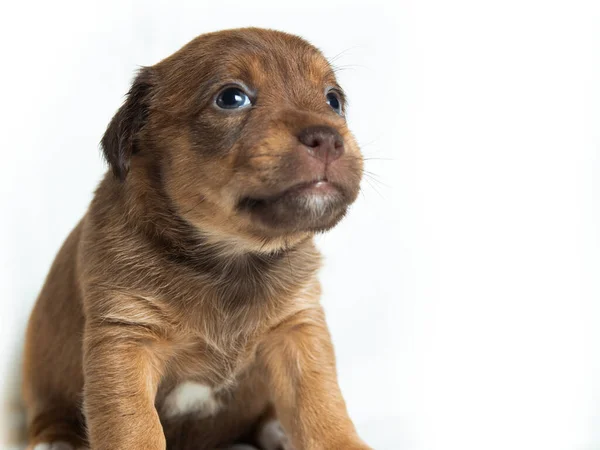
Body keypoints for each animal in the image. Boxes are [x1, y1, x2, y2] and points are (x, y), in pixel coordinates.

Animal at [23, 27, 368, 450]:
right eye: (232, 98)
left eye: (333, 100)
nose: (329, 139)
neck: (229, 260)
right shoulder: (125, 340)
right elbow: (134, 429)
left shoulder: (297, 331)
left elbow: (322, 412)